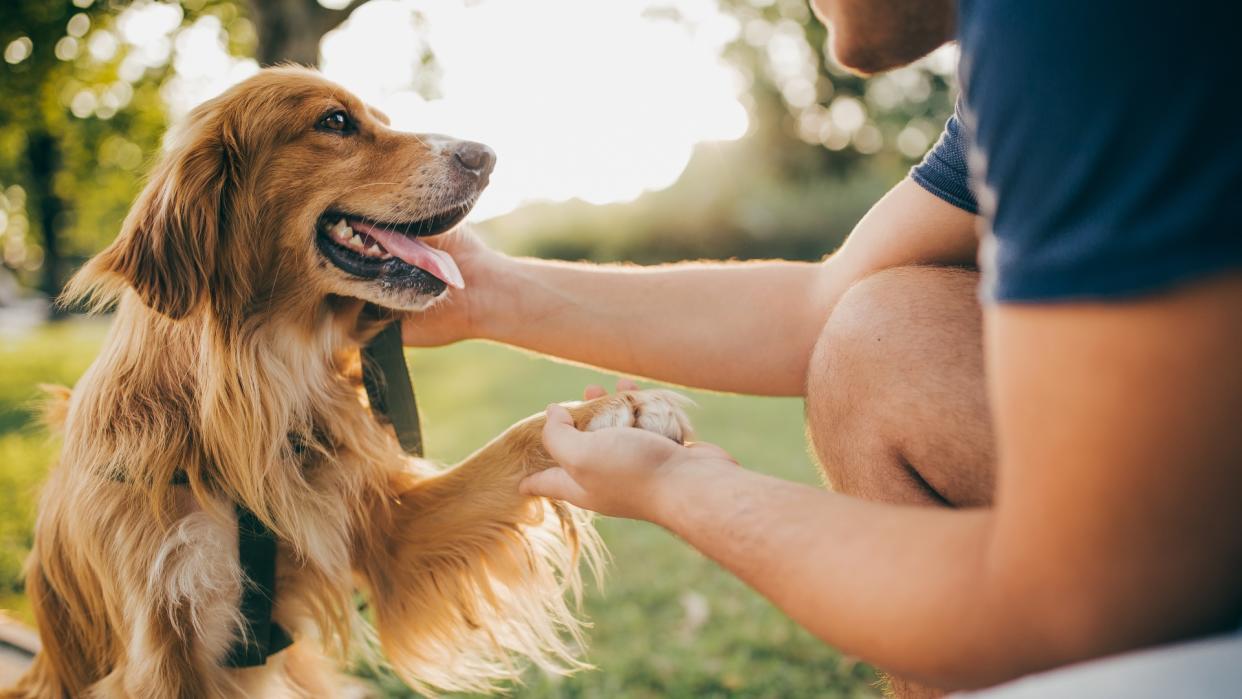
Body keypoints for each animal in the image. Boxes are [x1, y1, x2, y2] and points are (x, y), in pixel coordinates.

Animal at [4, 67, 690, 699]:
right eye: (335, 122)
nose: (487, 156)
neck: (255, 382)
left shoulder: (387, 531)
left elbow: (514, 441)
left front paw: (618, 410)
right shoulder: (158, 648)